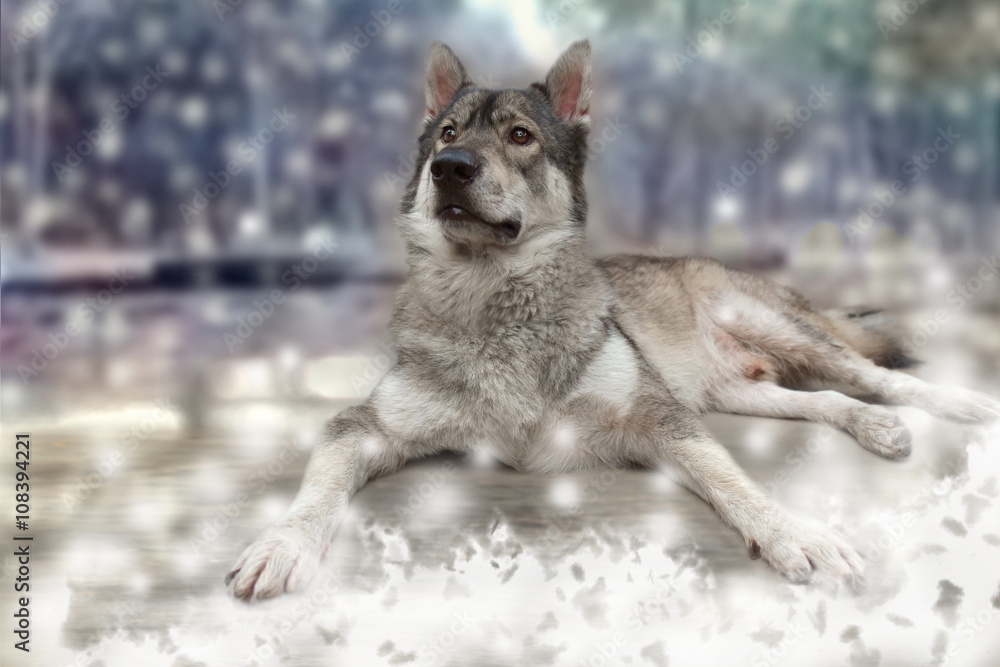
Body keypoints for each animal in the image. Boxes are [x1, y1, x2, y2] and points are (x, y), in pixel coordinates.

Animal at [227, 40, 1000, 602]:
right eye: (446, 133)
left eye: (520, 135)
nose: (450, 166)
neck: (495, 300)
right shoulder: (363, 426)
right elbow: (316, 489)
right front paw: (281, 544)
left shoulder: (662, 419)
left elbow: (735, 482)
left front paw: (791, 531)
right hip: (732, 390)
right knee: (824, 399)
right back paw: (873, 426)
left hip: (771, 329)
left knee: (873, 374)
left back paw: (962, 405)